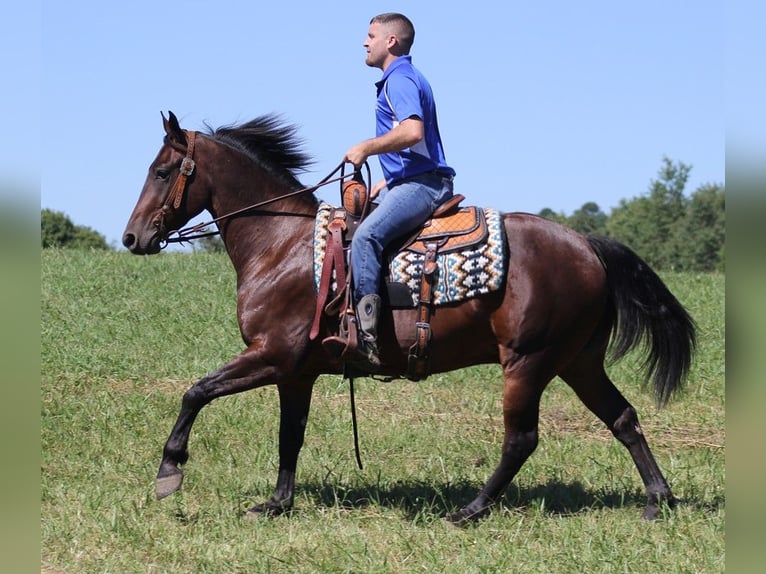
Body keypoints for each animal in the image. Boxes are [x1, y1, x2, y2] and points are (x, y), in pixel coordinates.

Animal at [124, 112, 696, 528]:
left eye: (161, 171)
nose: (132, 237)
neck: (282, 246)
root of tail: (589, 247)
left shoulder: (270, 355)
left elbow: (196, 392)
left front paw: (169, 470)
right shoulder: (296, 372)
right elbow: (291, 435)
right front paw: (277, 503)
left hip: (528, 362)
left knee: (521, 439)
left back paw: (469, 510)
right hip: (579, 362)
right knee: (622, 419)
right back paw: (658, 500)